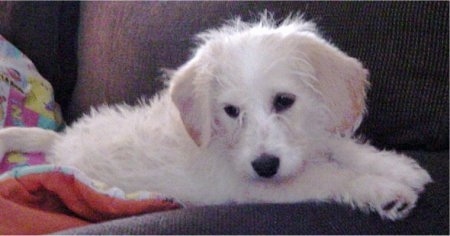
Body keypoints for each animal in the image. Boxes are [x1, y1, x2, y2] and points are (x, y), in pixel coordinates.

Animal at [0, 14, 430, 221]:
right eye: (231, 111)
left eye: (284, 101)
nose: (265, 165)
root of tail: (61, 140)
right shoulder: (257, 187)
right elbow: (329, 175)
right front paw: (384, 190)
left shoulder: (308, 136)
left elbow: (340, 147)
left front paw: (396, 167)